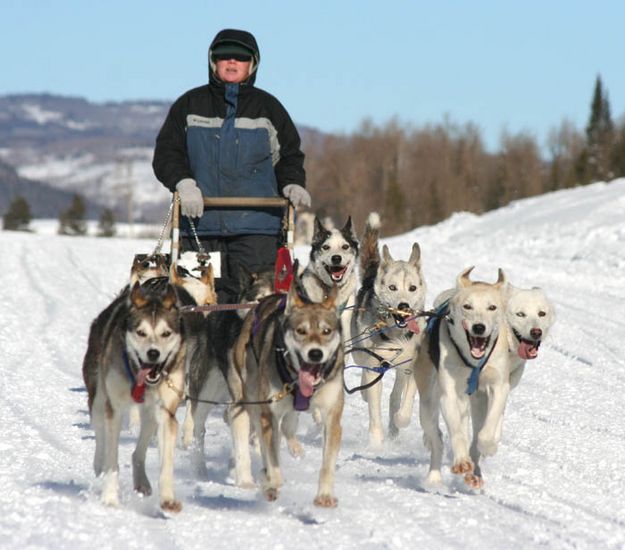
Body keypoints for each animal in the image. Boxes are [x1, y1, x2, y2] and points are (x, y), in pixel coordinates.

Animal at [84, 282, 189, 516]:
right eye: (141, 332)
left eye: (166, 333)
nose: (153, 353)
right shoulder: (114, 409)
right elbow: (112, 459)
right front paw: (110, 498)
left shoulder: (166, 413)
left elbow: (166, 463)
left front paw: (167, 499)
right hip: (98, 398)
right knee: (100, 434)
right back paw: (98, 463)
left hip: (150, 416)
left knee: (138, 451)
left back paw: (141, 480)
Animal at [230, 280, 344, 508]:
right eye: (301, 330)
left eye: (326, 331)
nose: (315, 353)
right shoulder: (269, 415)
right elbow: (273, 465)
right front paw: (269, 484)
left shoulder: (332, 417)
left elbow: (327, 463)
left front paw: (325, 495)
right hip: (248, 400)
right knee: (249, 431)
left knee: (288, 426)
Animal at [348, 222, 426, 450]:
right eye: (392, 287)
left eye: (412, 288)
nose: (404, 305)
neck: (395, 334)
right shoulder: (373, 367)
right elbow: (374, 411)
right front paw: (375, 444)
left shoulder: (412, 367)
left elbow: (405, 405)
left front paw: (399, 421)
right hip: (360, 354)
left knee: (394, 396)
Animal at [412, 268, 510, 488]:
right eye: (467, 306)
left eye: (492, 307)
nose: (479, 327)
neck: (474, 363)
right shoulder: (449, 394)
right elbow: (457, 432)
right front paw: (461, 461)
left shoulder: (499, 386)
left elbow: (487, 430)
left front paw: (487, 446)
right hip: (428, 403)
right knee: (438, 439)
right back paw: (435, 477)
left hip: (477, 402)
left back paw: (475, 472)